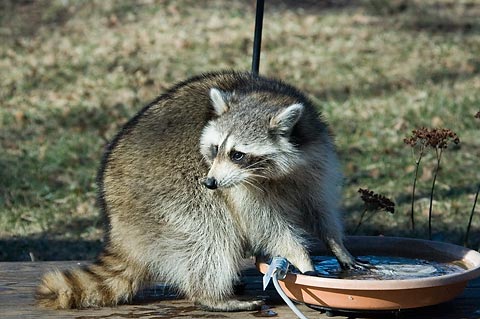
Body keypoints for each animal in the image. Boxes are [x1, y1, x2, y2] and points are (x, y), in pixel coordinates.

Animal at [37, 70, 358, 312]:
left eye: (237, 154)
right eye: (216, 149)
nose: (211, 182)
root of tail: (116, 224)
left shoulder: (315, 158)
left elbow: (319, 208)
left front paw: (336, 245)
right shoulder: (240, 188)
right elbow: (266, 224)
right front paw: (300, 256)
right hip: (161, 193)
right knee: (208, 231)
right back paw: (211, 296)